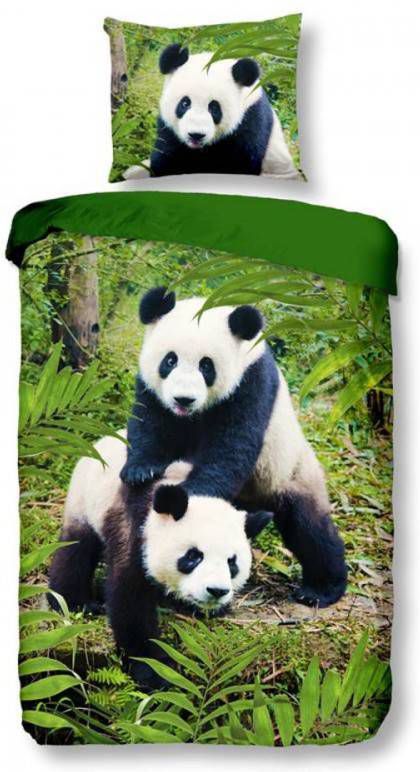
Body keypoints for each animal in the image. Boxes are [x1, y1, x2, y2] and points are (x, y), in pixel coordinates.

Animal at [48, 432, 272, 685]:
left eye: (232, 562)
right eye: (193, 556)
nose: (216, 591)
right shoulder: (135, 528)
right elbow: (131, 600)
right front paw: (153, 670)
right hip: (85, 499)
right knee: (76, 550)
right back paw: (74, 601)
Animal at [121, 287, 348, 609]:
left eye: (206, 365)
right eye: (169, 360)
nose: (183, 399)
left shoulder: (251, 383)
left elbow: (231, 449)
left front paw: (189, 495)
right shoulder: (152, 389)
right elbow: (148, 423)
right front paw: (141, 471)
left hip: (289, 472)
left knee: (310, 530)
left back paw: (321, 589)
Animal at [148, 43, 299, 178]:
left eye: (214, 108)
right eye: (185, 103)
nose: (196, 135)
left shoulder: (251, 121)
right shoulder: (168, 131)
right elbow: (165, 158)